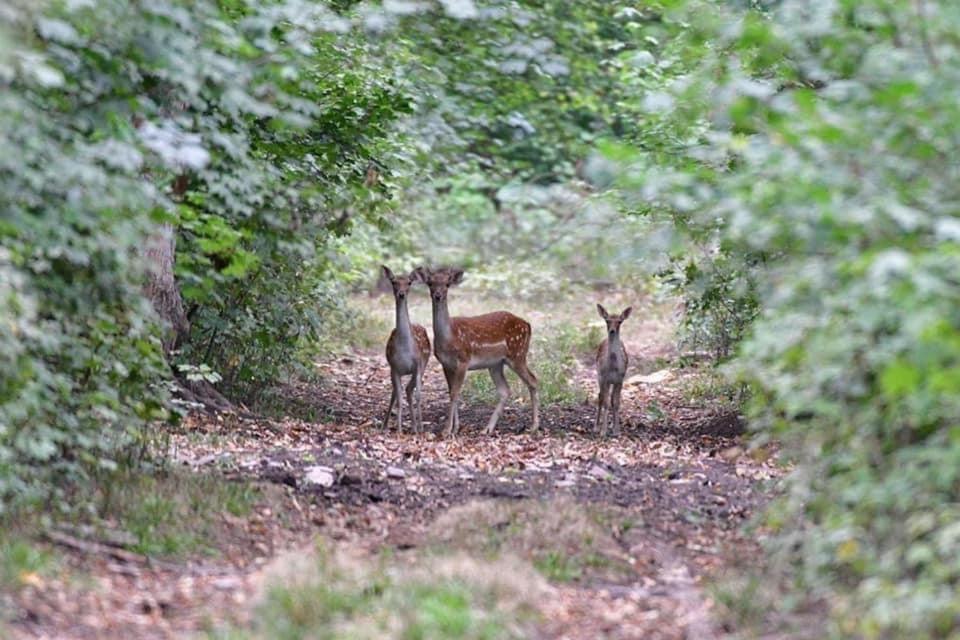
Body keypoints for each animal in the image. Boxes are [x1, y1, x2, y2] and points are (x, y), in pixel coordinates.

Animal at [378, 264, 432, 436]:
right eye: (394, 282)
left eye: (409, 282)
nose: (401, 294)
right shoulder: (394, 367)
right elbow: (399, 397)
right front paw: (399, 430)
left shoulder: (418, 365)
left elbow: (418, 395)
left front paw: (420, 428)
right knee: (397, 393)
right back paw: (386, 425)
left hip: (424, 364)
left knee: (409, 389)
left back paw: (415, 427)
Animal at [414, 266, 540, 440]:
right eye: (430, 283)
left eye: (447, 284)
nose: (438, 295)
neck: (449, 337)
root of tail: (527, 324)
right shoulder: (446, 363)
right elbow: (452, 392)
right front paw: (455, 429)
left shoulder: (464, 359)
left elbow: (455, 393)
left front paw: (446, 431)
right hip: (496, 364)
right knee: (505, 390)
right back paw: (488, 429)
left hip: (518, 354)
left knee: (533, 380)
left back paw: (534, 427)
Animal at [592, 304, 632, 436]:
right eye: (607, 320)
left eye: (619, 321)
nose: (612, 331)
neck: (613, 367)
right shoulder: (604, 378)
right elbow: (605, 402)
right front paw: (603, 431)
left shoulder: (620, 379)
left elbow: (616, 402)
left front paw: (616, 431)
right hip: (599, 376)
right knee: (600, 397)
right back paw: (596, 426)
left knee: (610, 398)